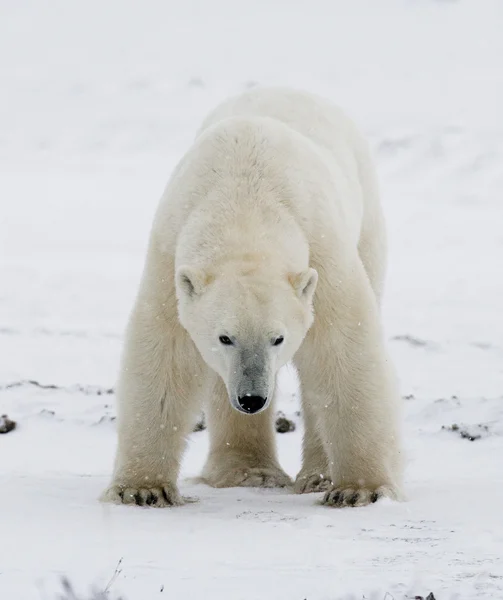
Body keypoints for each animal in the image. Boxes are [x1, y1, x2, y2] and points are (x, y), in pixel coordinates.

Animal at [100, 86, 404, 508]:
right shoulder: (169, 254)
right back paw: (247, 471)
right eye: (225, 337)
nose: (251, 398)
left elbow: (343, 348)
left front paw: (359, 489)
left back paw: (316, 476)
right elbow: (166, 353)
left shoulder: (323, 252)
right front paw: (142, 489)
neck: (244, 198)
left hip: (368, 224)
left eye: (278, 338)